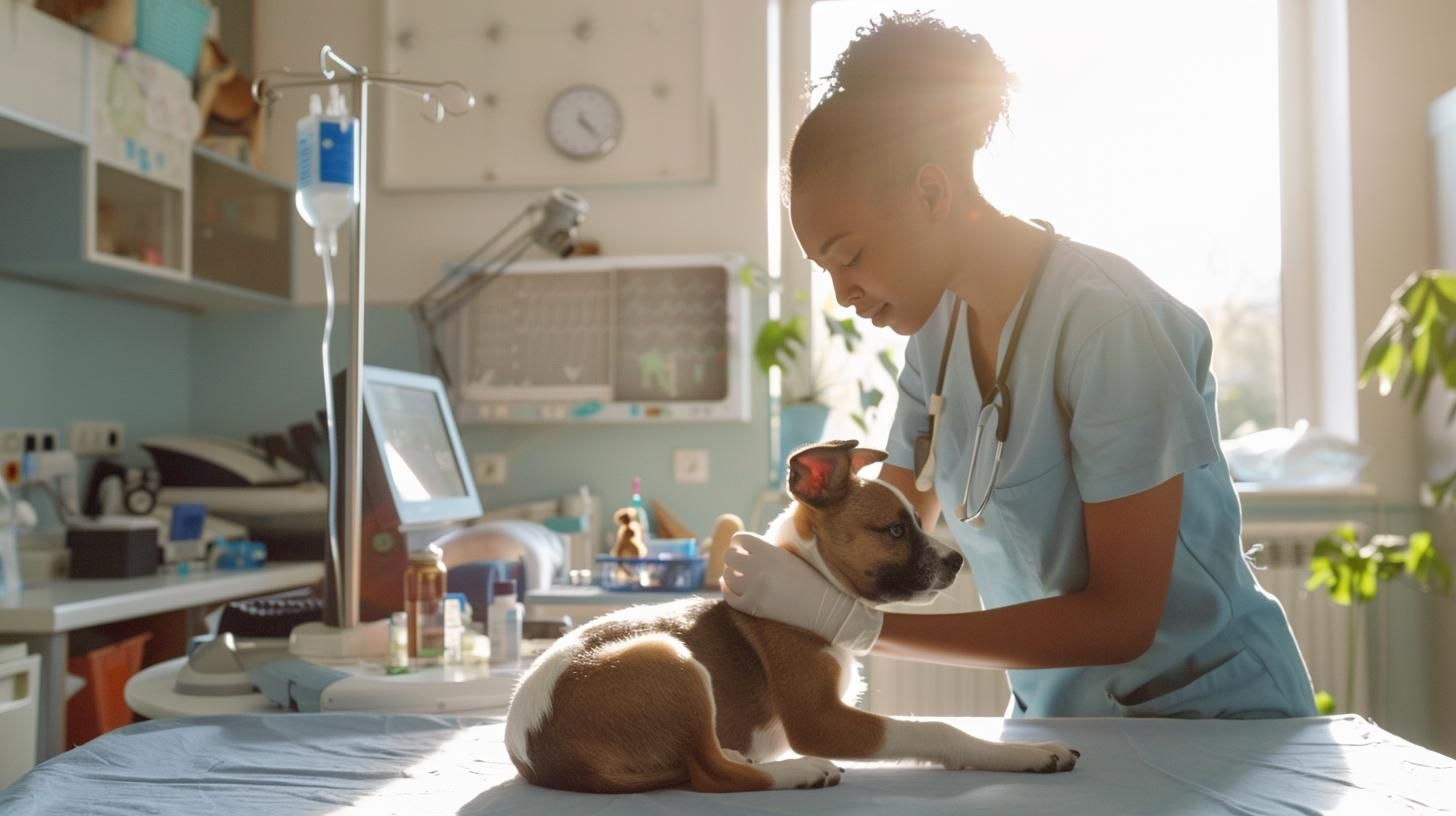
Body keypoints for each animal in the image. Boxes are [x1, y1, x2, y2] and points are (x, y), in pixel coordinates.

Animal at [506, 440, 1077, 792]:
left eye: (918, 520)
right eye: (895, 530)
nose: (958, 562)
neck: (814, 580)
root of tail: (537, 751)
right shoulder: (819, 719)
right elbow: (940, 729)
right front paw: (1027, 753)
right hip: (671, 658)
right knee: (712, 775)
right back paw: (798, 771)